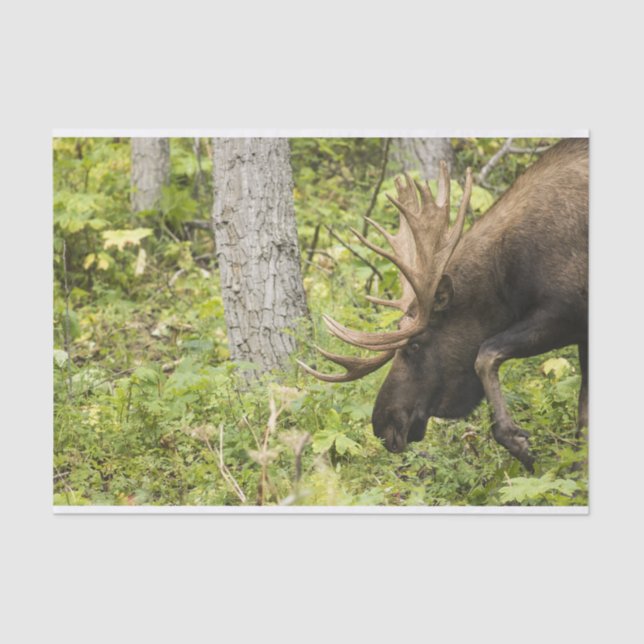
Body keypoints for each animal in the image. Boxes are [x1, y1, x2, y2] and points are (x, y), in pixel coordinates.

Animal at [299, 139, 588, 471]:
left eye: (413, 345)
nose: (383, 424)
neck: (508, 279)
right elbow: (584, 417)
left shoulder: (567, 310)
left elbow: (485, 354)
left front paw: (520, 443)